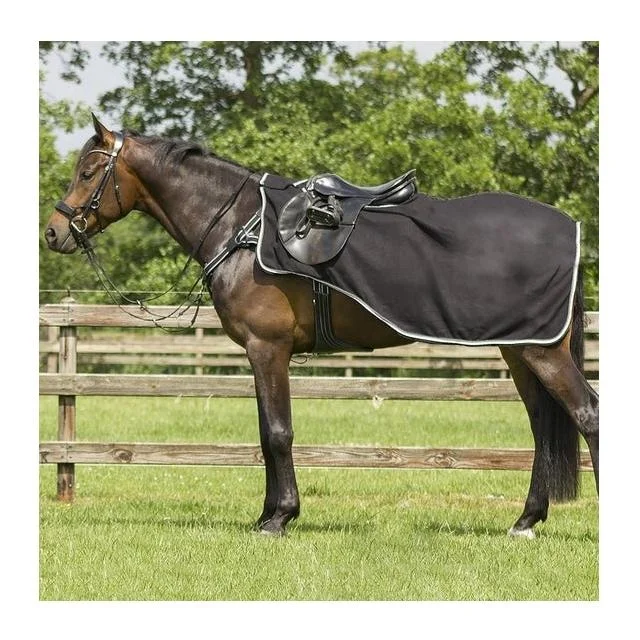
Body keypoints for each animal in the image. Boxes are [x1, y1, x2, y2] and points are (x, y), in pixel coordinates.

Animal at [44, 115, 599, 538]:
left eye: (89, 171)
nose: (54, 232)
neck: (242, 227)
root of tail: (566, 226)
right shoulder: (260, 354)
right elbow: (266, 434)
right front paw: (268, 514)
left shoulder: (268, 348)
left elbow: (278, 432)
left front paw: (280, 519)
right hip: (520, 349)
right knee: (542, 425)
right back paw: (525, 521)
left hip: (541, 351)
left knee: (587, 414)